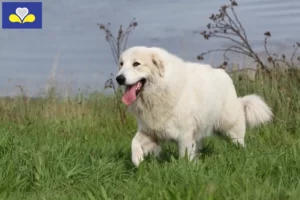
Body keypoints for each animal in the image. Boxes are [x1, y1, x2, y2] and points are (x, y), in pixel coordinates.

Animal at [115, 46, 274, 166]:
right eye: (121, 64)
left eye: (136, 64)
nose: (119, 78)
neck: (159, 90)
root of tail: (225, 76)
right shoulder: (151, 131)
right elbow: (134, 142)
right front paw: (137, 160)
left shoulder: (184, 135)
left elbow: (184, 157)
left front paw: (185, 171)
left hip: (229, 128)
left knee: (239, 143)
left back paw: (243, 156)